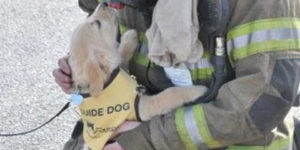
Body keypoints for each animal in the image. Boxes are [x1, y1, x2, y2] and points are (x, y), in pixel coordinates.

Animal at [68, 3, 209, 150]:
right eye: (97, 23)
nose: (104, 3)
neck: (108, 82)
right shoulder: (141, 108)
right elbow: (169, 94)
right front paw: (197, 91)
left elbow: (121, 56)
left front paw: (129, 36)